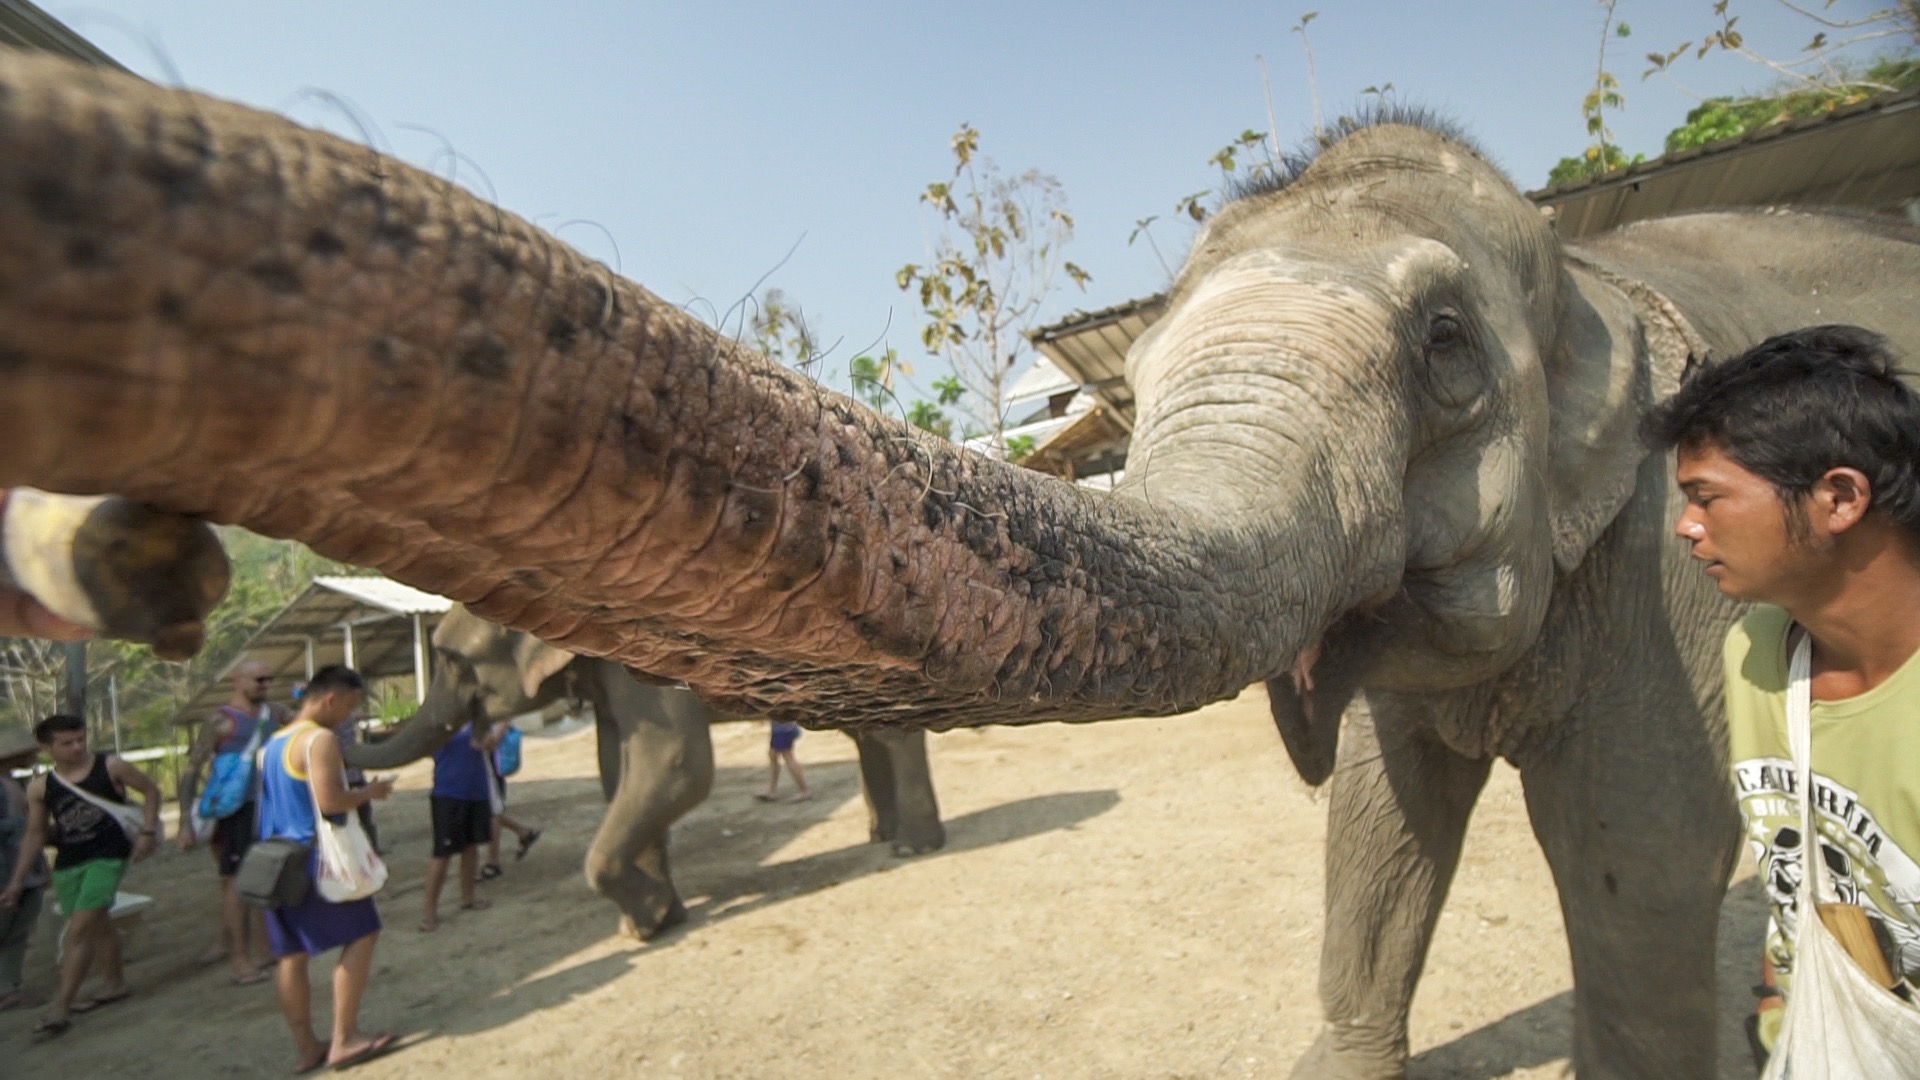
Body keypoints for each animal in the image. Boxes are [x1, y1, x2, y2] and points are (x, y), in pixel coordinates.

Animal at [343, 607, 944, 933]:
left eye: (451, 659)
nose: (347, 724)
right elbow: (618, 769)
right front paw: (657, 920)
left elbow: (675, 762)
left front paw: (643, 923)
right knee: (867, 732)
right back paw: (880, 835)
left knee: (894, 732)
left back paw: (913, 847)